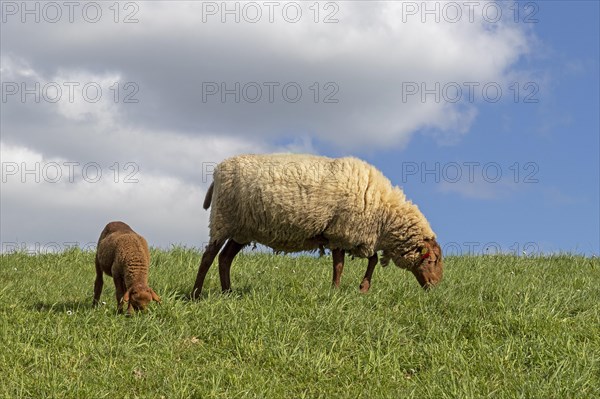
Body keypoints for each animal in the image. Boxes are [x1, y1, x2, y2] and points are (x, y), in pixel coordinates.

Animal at [190, 155, 442, 298]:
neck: (385, 215)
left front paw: (363, 288)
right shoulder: (341, 232)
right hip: (223, 219)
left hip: (242, 229)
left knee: (225, 258)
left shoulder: (357, 235)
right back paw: (195, 294)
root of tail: (218, 170)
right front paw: (336, 292)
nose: (436, 287)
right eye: (431, 260)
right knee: (209, 256)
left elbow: (370, 260)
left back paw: (228, 293)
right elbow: (339, 266)